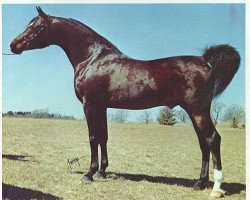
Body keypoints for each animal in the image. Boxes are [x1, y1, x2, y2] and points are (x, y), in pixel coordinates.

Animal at [10, 6, 240, 197]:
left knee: (212, 139)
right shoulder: (101, 107)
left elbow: (93, 137)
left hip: (198, 110)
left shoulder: (89, 105)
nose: (14, 44)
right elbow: (103, 137)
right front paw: (102, 172)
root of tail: (203, 60)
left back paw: (216, 188)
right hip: (195, 112)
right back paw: (199, 183)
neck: (93, 59)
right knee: (203, 142)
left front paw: (89, 174)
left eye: (37, 27)